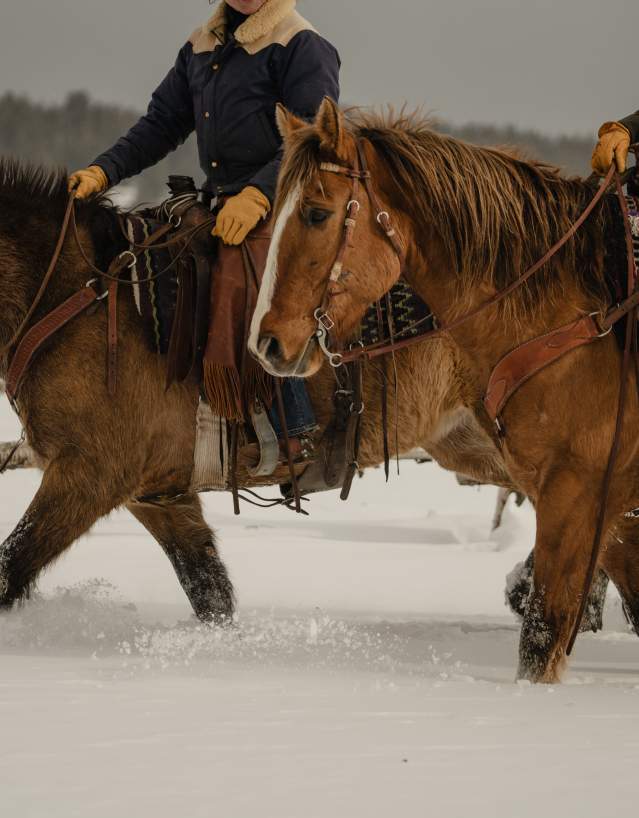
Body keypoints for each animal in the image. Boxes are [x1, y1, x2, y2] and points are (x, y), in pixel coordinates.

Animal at [0, 158, 522, 623]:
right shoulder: (159, 496)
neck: (76, 297)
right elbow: (208, 589)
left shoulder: (90, 473)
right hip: (468, 442)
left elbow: (11, 566)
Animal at [249, 98, 639, 682]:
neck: (575, 319)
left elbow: (542, 635)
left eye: (317, 213)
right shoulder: (610, 514)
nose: (267, 343)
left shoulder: (577, 495)